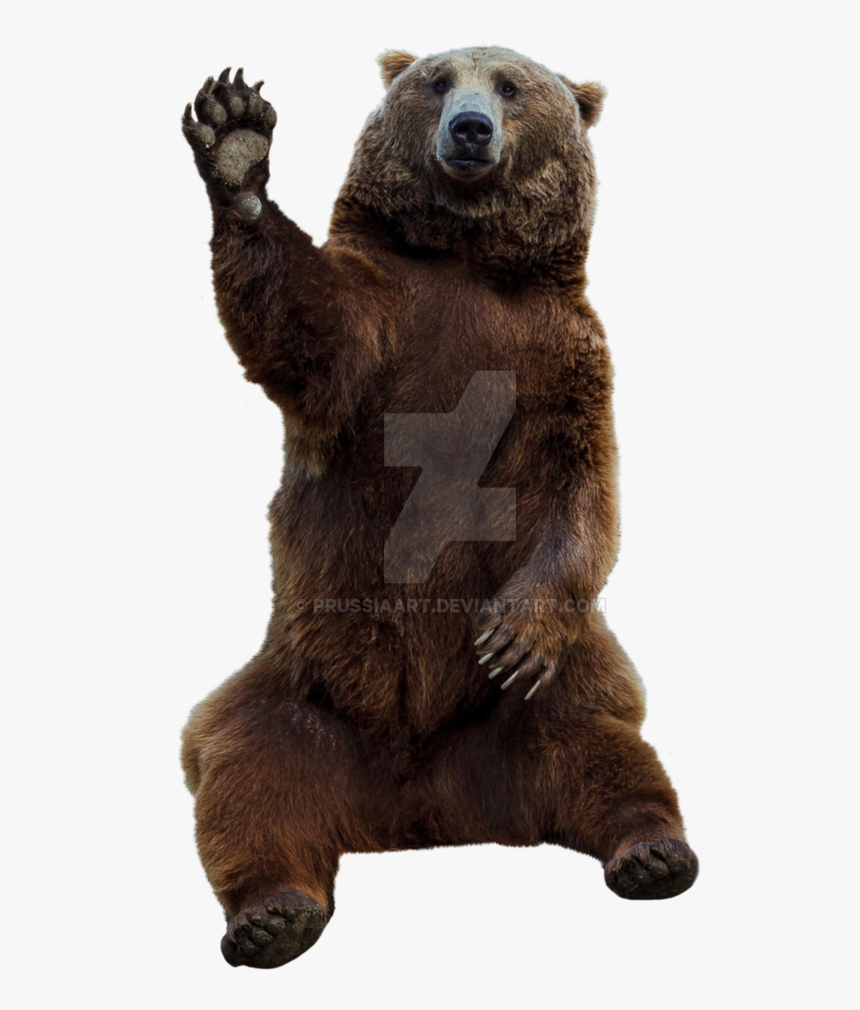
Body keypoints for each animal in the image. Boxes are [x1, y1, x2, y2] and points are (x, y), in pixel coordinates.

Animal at [180, 46, 698, 970]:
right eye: (437, 79)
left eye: (512, 85)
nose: (469, 129)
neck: (469, 260)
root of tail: (422, 812)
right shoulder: (387, 323)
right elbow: (307, 331)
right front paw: (236, 138)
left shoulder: (562, 353)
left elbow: (583, 485)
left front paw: (515, 634)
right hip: (300, 693)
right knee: (248, 772)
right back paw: (273, 916)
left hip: (533, 707)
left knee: (602, 746)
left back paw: (653, 852)